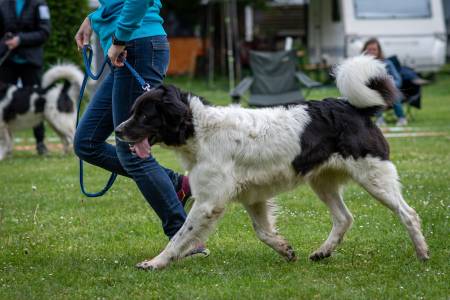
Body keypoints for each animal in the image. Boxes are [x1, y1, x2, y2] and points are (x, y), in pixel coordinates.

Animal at [114, 54, 428, 270]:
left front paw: (156, 262)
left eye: (144, 116)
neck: (200, 129)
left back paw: (422, 253)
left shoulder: (208, 202)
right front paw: (285, 249)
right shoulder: (253, 197)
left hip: (374, 177)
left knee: (408, 213)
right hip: (323, 182)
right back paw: (323, 251)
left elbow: (180, 236)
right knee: (344, 218)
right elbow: (263, 232)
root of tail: (354, 107)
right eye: (133, 112)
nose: (117, 131)